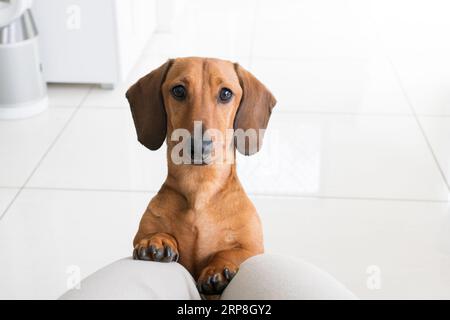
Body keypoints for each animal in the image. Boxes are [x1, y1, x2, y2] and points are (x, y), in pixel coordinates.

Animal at [125, 56, 276, 296]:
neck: (200, 190)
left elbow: (232, 252)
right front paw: (156, 240)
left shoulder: (253, 249)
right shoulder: (141, 234)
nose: (198, 146)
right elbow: (152, 233)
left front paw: (218, 268)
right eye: (178, 90)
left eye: (226, 93)